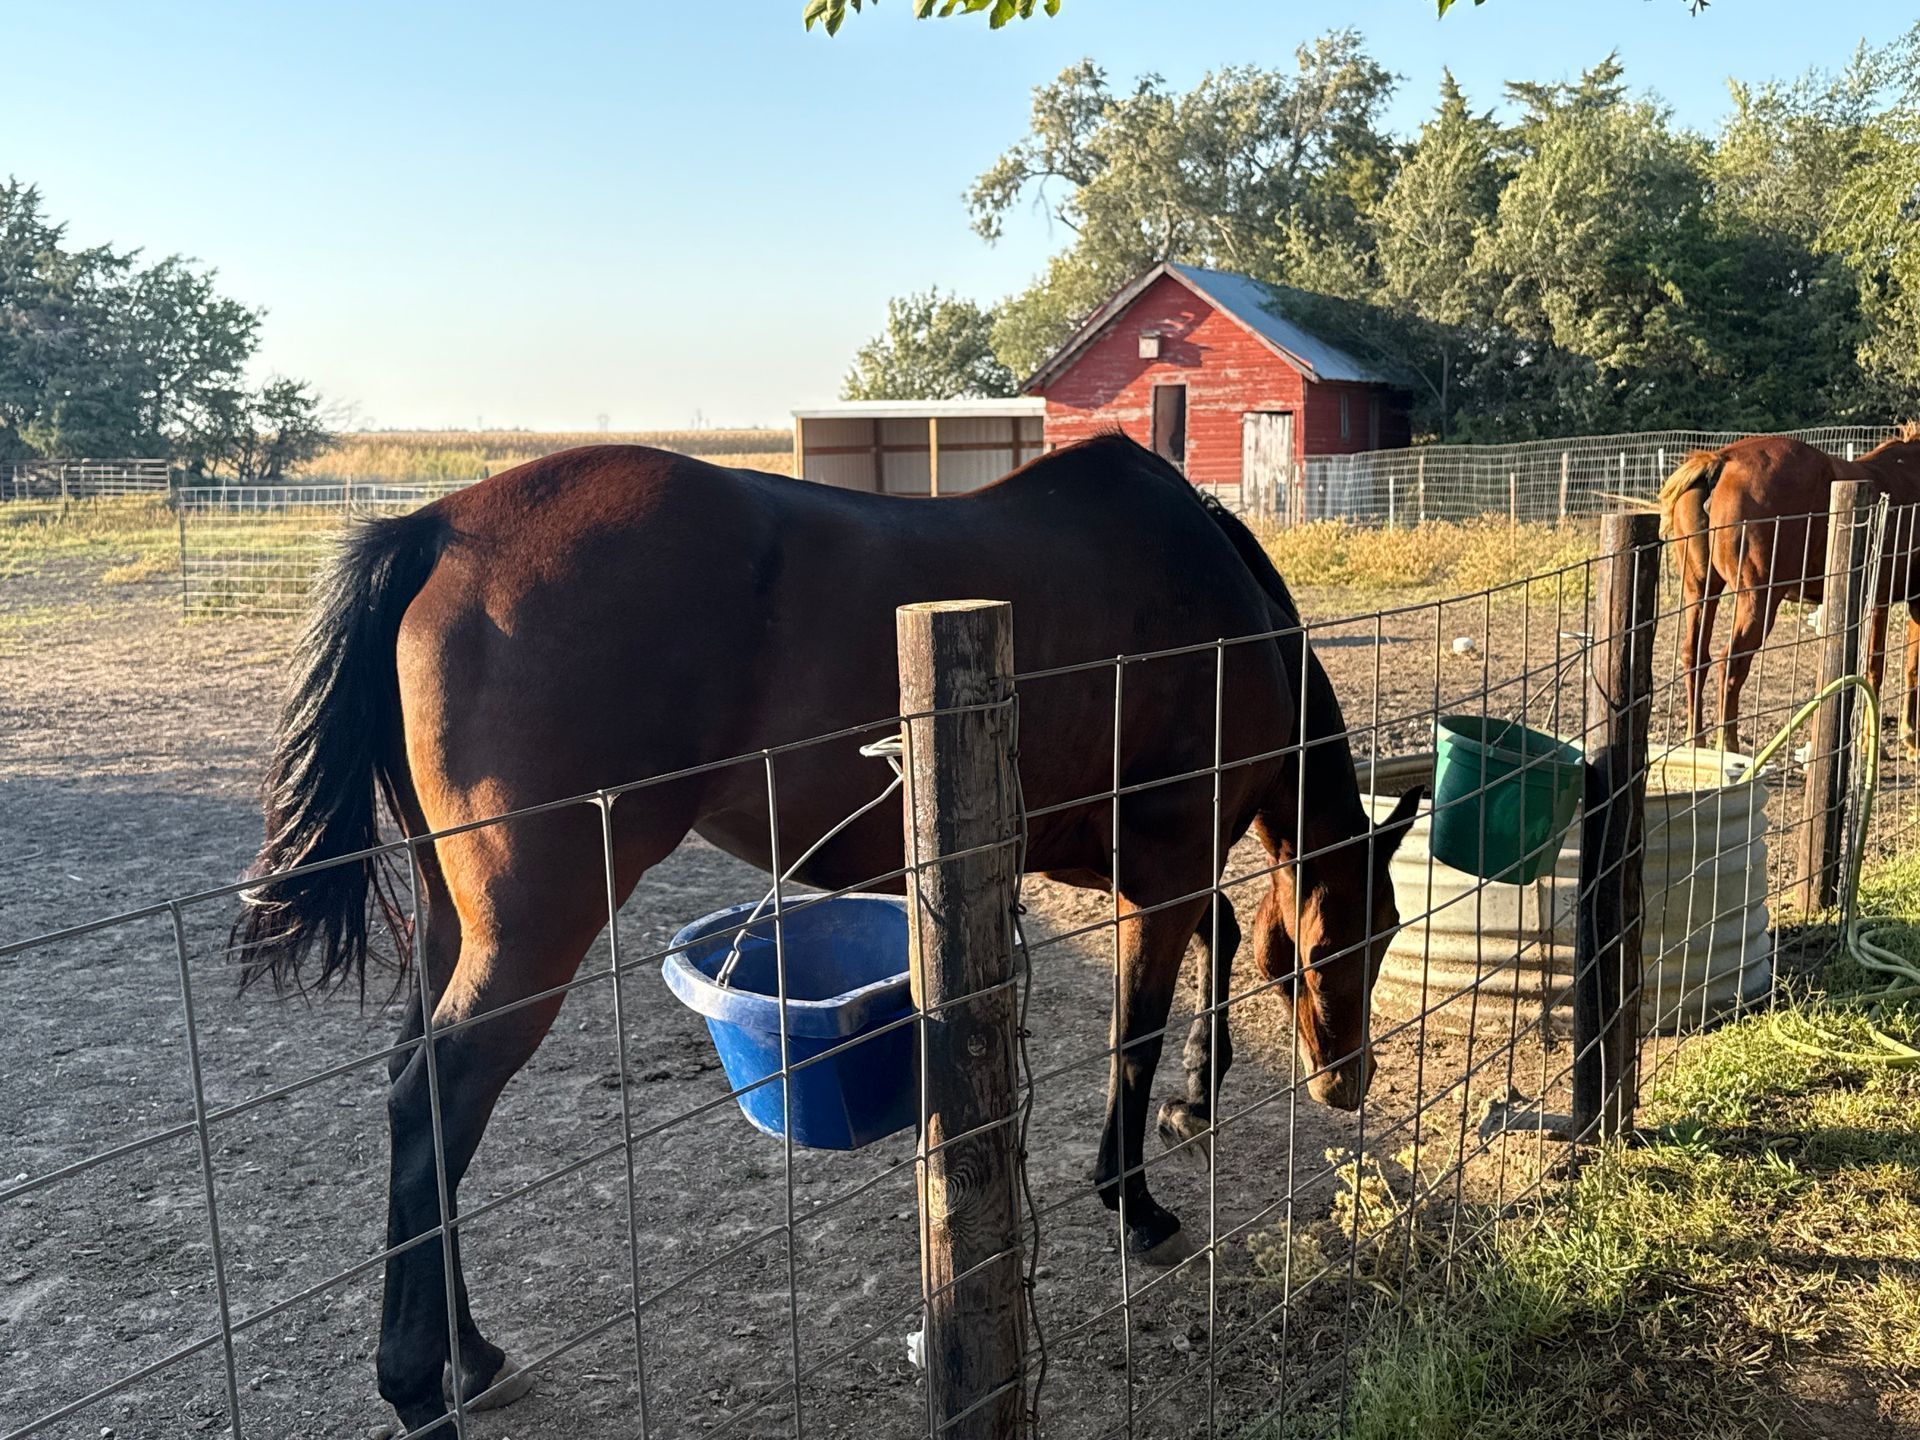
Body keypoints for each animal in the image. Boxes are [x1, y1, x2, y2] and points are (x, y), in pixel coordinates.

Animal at [234, 432, 1422, 1434]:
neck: (1223, 610)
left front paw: (1192, 1102)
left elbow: (1217, 946)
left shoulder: (1120, 867)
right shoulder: (1164, 866)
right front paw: (1136, 1202)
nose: (1349, 1082)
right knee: (438, 1101)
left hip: (460, 921)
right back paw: (416, 1384)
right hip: (532, 932)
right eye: (1357, 940)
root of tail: (440, 527)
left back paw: (469, 1357)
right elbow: (1136, 1030)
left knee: (423, 1101)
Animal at [1658, 425, 1920, 753]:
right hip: (1759, 600)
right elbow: (1900, 667)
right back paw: (1728, 746)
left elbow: (1885, 666)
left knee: (1695, 657)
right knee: (1731, 664)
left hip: (1701, 592)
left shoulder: (1888, 601)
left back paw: (1697, 743)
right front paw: (1903, 741)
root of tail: (1722, 460)